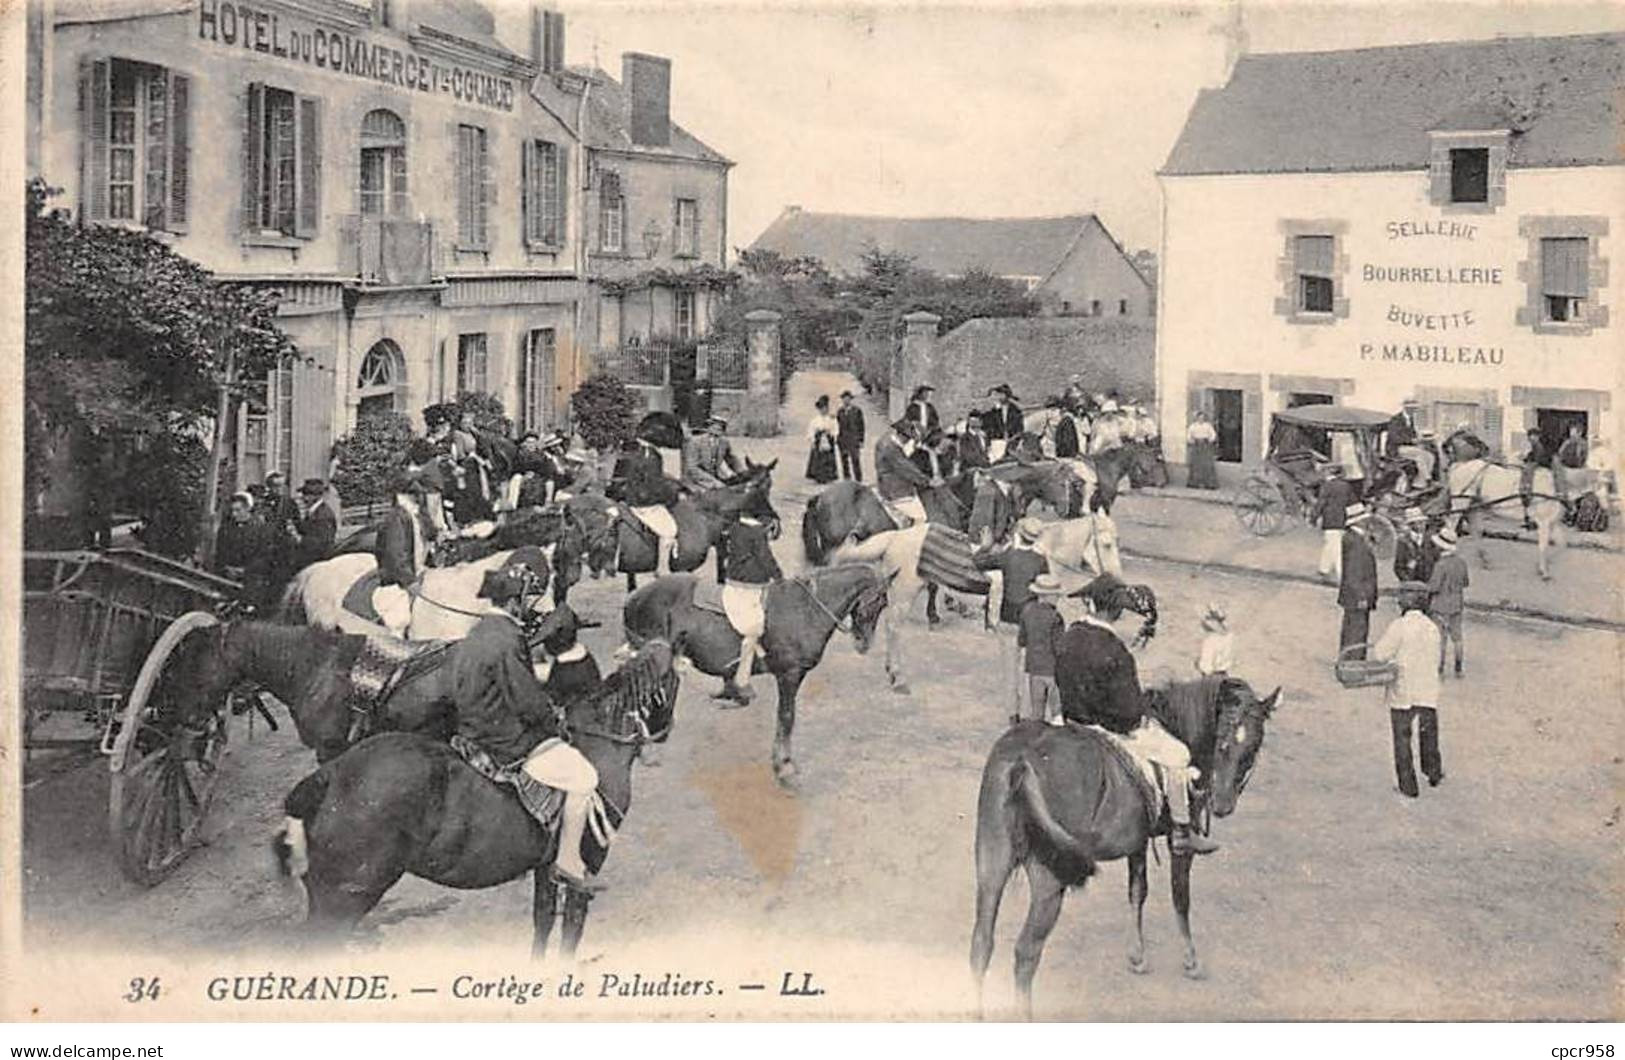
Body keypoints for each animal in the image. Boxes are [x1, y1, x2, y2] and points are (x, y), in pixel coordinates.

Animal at [273, 637, 679, 949]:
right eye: (673, 683)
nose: (662, 734)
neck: (596, 743)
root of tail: (327, 777)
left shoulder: (545, 869)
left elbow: (543, 924)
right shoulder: (586, 865)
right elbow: (569, 935)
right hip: (342, 901)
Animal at [617, 562, 890, 786]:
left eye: (884, 605)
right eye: (876, 601)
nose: (864, 643)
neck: (806, 609)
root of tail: (634, 599)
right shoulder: (790, 675)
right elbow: (787, 717)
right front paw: (784, 767)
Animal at [832, 513, 1124, 695]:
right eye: (1107, 544)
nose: (1118, 579)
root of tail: (896, 536)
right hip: (904, 593)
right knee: (893, 628)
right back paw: (899, 679)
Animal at [962, 679, 1280, 1020]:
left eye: (1253, 747)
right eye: (1221, 742)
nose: (1222, 804)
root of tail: (1022, 760)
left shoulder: (1138, 842)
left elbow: (1137, 891)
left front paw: (1138, 956)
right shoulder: (1178, 847)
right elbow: (1180, 897)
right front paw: (1191, 960)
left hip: (991, 866)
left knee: (981, 943)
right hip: (1048, 880)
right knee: (1026, 952)